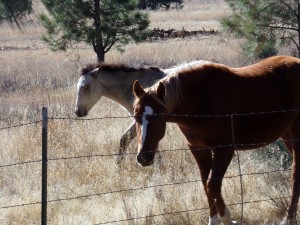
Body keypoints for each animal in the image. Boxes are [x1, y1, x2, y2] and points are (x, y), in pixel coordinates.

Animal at [134, 55, 300, 225]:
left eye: (159, 117)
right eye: (135, 116)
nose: (144, 157)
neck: (201, 99)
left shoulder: (224, 148)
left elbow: (212, 185)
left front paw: (227, 219)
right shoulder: (198, 149)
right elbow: (205, 183)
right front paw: (213, 220)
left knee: (296, 173)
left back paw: (289, 218)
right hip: (287, 135)